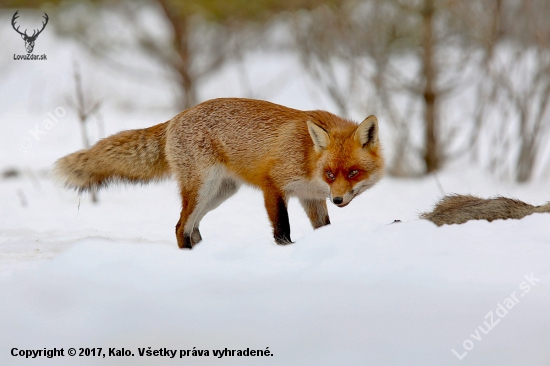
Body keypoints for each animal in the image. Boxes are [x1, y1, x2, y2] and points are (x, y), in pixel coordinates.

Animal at [54, 98, 386, 249]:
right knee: (180, 227)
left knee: (193, 228)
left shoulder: (310, 197)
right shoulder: (272, 186)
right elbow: (282, 230)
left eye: (352, 172)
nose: (338, 200)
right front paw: (286, 251)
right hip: (202, 188)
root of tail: (175, 117)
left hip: (219, 193)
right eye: (330, 173)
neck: (307, 157)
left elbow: (323, 228)